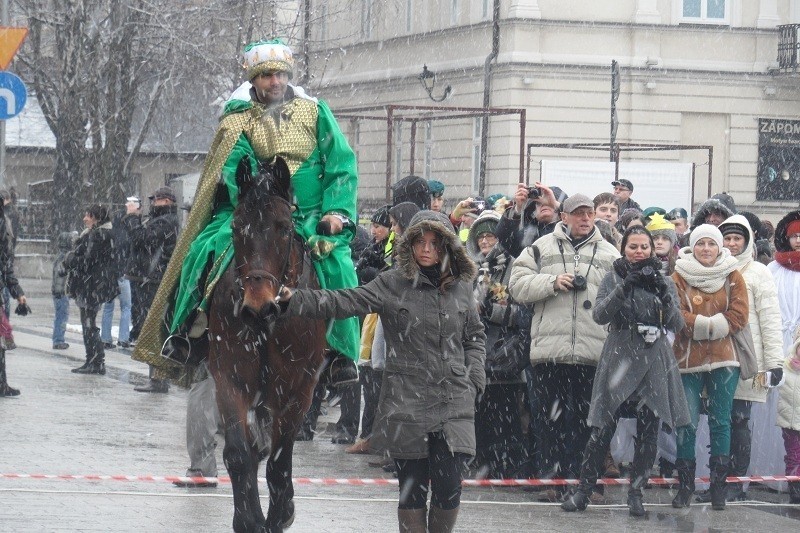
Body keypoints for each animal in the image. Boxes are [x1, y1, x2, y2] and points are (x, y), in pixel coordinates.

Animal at [211, 157, 330, 532]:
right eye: (237, 226)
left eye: (283, 227)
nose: (257, 307)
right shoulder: (229, 378)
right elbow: (239, 454)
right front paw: (249, 519)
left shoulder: (299, 389)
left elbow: (280, 463)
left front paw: (280, 514)